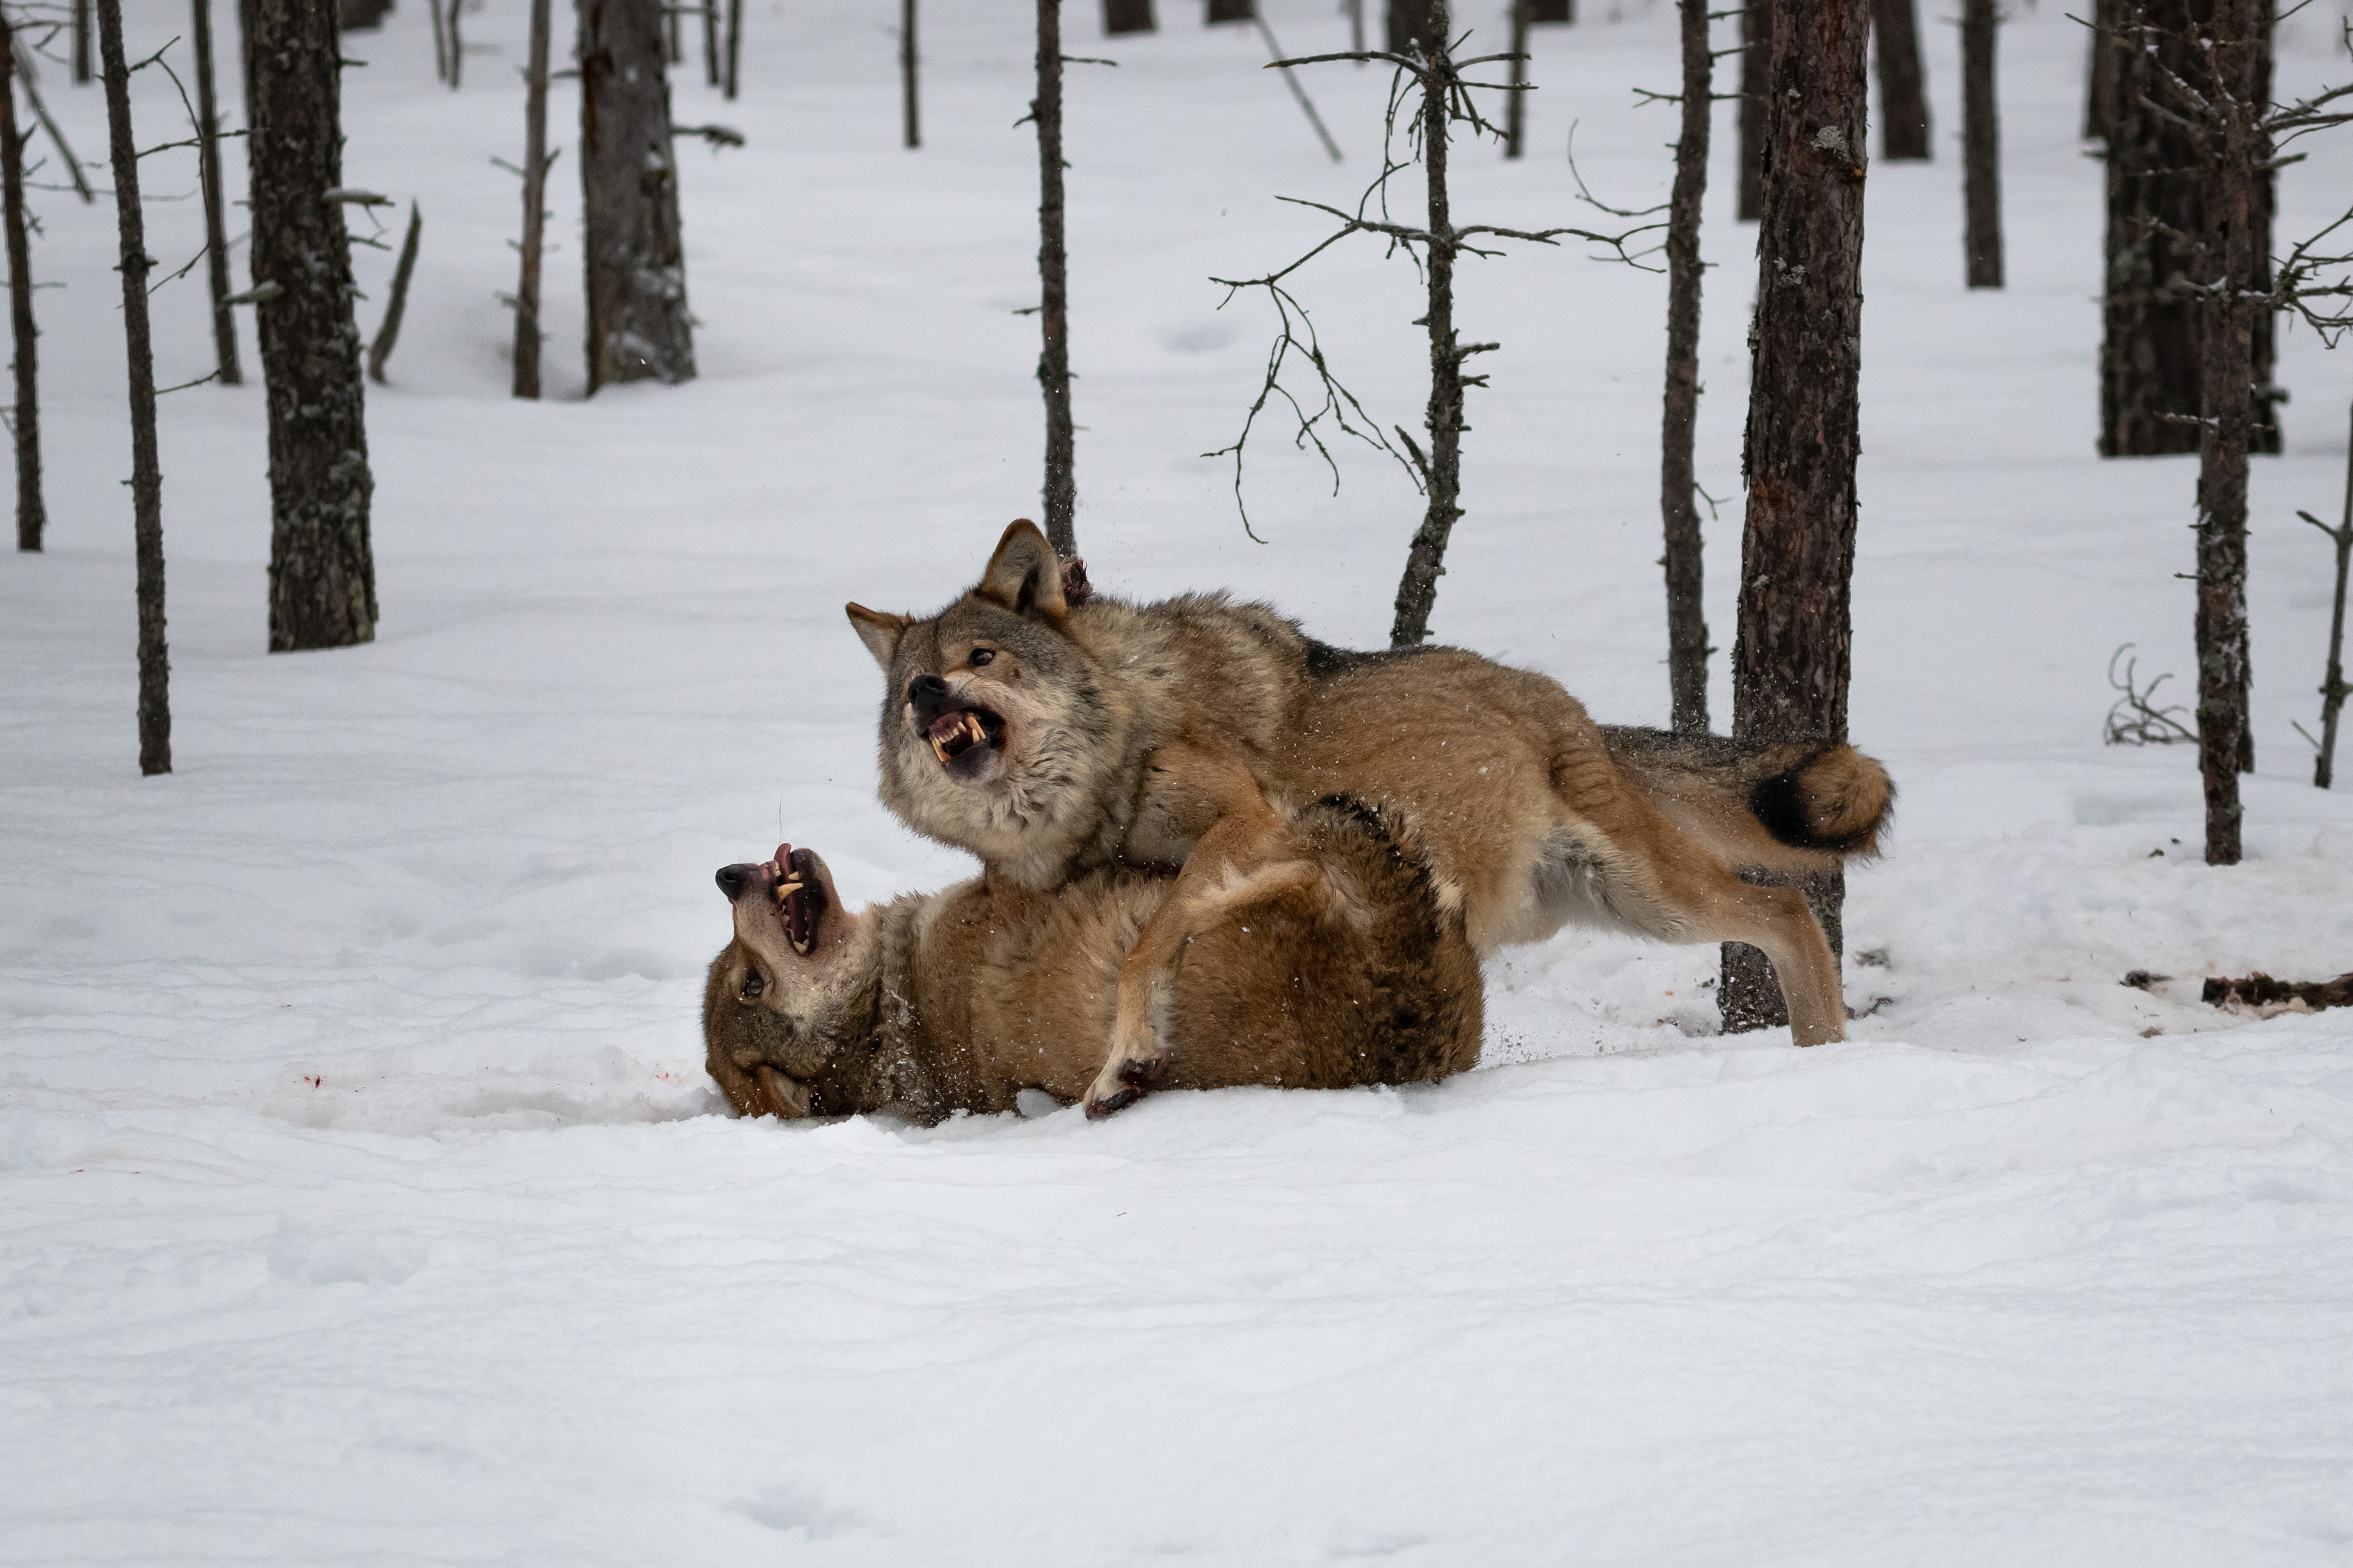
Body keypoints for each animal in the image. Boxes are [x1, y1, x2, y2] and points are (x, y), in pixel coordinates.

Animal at [847, 517, 1892, 1114]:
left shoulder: (1245, 823)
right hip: (1601, 903)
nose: (928, 692)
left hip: (1651, 895)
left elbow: (1151, 945)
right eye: (911, 684)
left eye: (983, 657)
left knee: (1784, 908)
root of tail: (1562, 704)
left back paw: (1829, 1056)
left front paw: (1126, 1057)